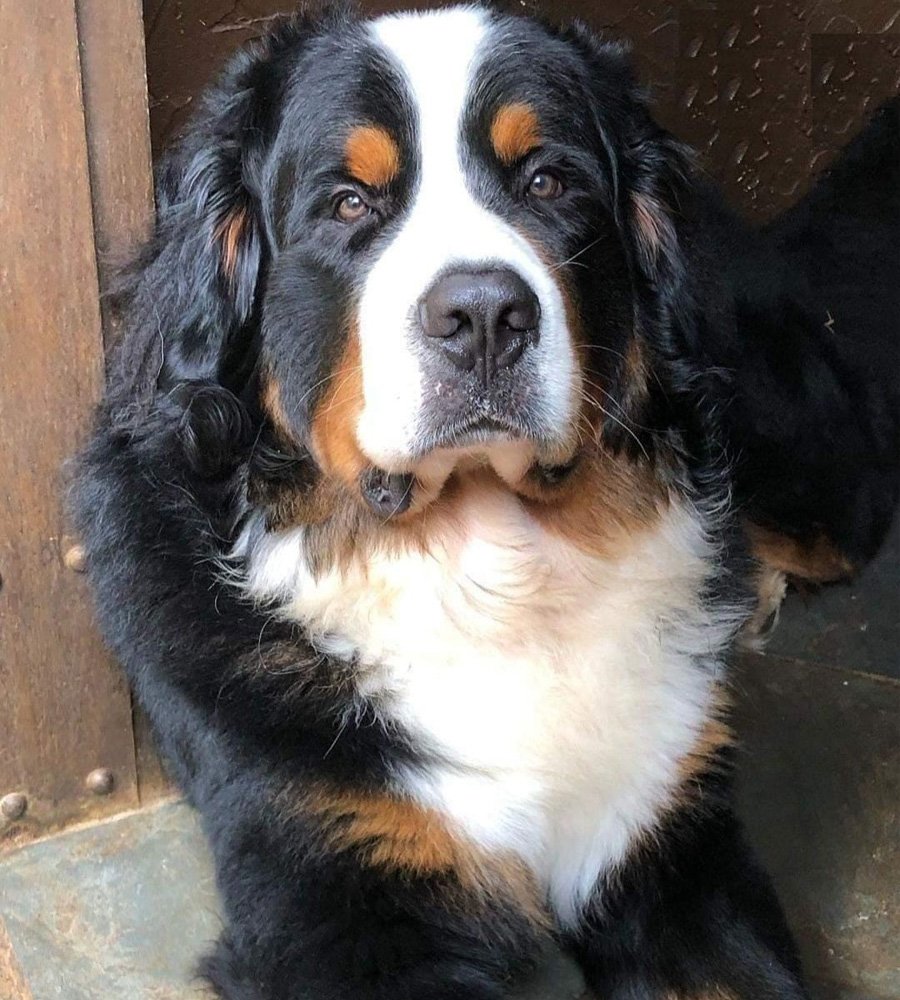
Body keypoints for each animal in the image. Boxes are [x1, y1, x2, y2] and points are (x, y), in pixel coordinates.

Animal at [73, 5, 899, 998]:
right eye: (349, 203)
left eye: (548, 181)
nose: (482, 316)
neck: (490, 558)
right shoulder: (341, 873)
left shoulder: (669, 841)